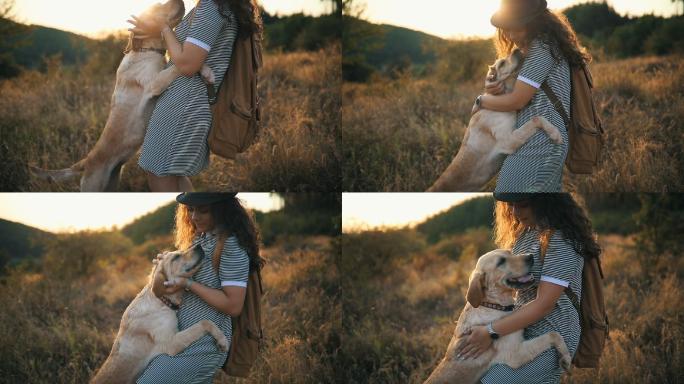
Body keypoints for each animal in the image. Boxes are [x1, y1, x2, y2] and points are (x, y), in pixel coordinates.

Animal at [29, 0, 214, 191]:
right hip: (94, 186)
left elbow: (187, 65)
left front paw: (207, 72)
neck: (146, 50)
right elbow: (177, 67)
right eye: (158, 6)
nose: (180, 1)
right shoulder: (155, 83)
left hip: (112, 183)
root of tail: (86, 161)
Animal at [91, 246, 228, 384]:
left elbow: (205, 322)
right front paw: (222, 340)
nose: (198, 246)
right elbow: (205, 322)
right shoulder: (171, 343)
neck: (160, 300)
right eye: (176, 257)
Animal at [422, 249, 572, 384]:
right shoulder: (515, 354)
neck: (492, 305)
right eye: (501, 262)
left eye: (510, 253)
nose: (530, 256)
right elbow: (553, 334)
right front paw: (566, 357)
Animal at [428, 49, 560, 190]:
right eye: (502, 64)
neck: (500, 98)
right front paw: (555, 133)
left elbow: (537, 119)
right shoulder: (509, 140)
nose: (516, 50)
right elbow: (537, 118)